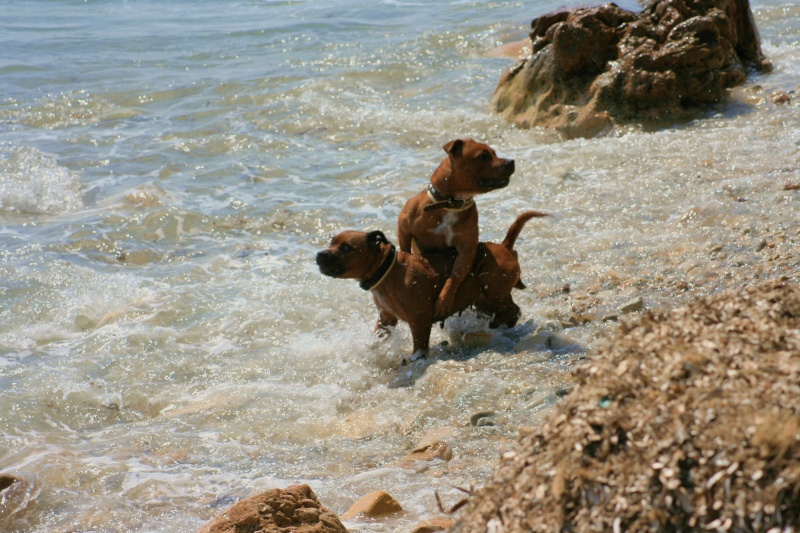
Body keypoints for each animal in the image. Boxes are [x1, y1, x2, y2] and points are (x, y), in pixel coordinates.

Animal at [316, 211, 548, 362]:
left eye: (346, 248)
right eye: (331, 242)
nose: (319, 255)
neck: (386, 270)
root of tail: (504, 246)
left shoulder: (419, 319)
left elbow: (419, 344)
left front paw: (415, 359)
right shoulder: (386, 319)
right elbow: (378, 336)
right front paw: (371, 349)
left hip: (493, 288)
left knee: (513, 309)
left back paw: (500, 323)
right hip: (483, 298)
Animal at [396, 138, 520, 320]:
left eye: (494, 153)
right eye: (483, 156)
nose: (511, 162)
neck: (450, 203)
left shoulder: (466, 250)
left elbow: (454, 276)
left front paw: (444, 299)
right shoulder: (403, 227)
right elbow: (405, 248)